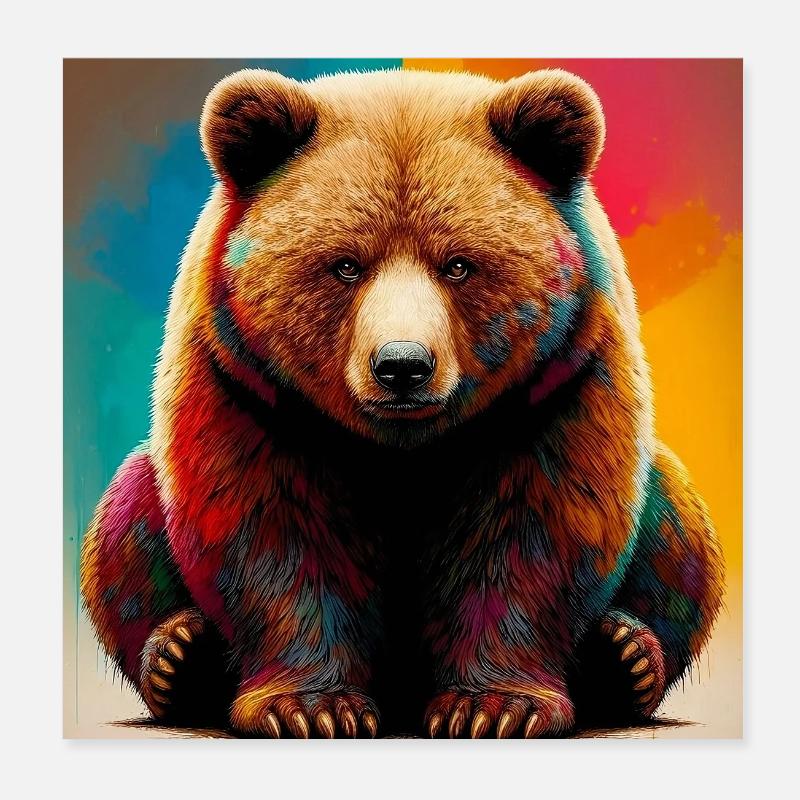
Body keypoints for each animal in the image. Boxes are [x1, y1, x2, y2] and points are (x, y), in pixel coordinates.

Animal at [80, 67, 724, 738]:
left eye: (459, 264)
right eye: (345, 265)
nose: (402, 365)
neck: (403, 446)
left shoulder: (556, 385)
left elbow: (532, 530)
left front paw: (491, 705)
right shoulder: (249, 389)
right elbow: (271, 530)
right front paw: (314, 705)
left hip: (666, 513)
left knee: (679, 525)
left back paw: (624, 655)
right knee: (125, 517)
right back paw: (180, 656)